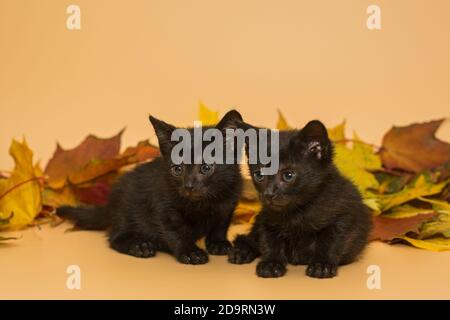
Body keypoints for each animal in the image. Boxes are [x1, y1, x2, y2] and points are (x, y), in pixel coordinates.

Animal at [59, 110, 246, 264]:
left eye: (206, 168)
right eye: (177, 169)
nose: (188, 185)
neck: (203, 203)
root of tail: (110, 204)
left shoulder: (229, 202)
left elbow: (220, 224)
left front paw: (218, 243)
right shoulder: (163, 206)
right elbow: (176, 232)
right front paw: (190, 251)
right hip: (126, 210)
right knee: (115, 236)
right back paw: (139, 246)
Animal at [229, 120, 372, 278]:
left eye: (288, 175)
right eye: (259, 175)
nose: (268, 194)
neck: (297, 211)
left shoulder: (344, 215)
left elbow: (331, 241)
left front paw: (321, 265)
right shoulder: (268, 219)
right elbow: (269, 240)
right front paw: (271, 263)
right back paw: (242, 252)